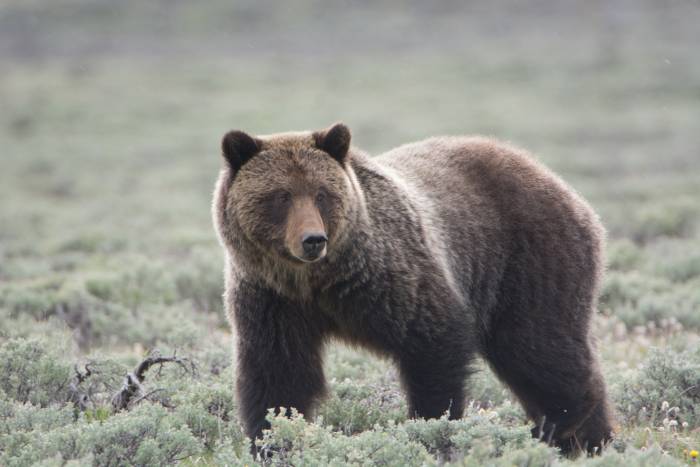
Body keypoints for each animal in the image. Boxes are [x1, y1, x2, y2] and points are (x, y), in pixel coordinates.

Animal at [212, 123, 614, 455]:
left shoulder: (392, 278)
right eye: (281, 195)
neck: (318, 282)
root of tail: (557, 181)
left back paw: (568, 429)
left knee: (540, 348)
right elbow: (278, 375)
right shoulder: (273, 300)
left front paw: (431, 429)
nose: (313, 239)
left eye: (322, 193)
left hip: (530, 261)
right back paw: (586, 440)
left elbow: (434, 345)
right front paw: (272, 440)